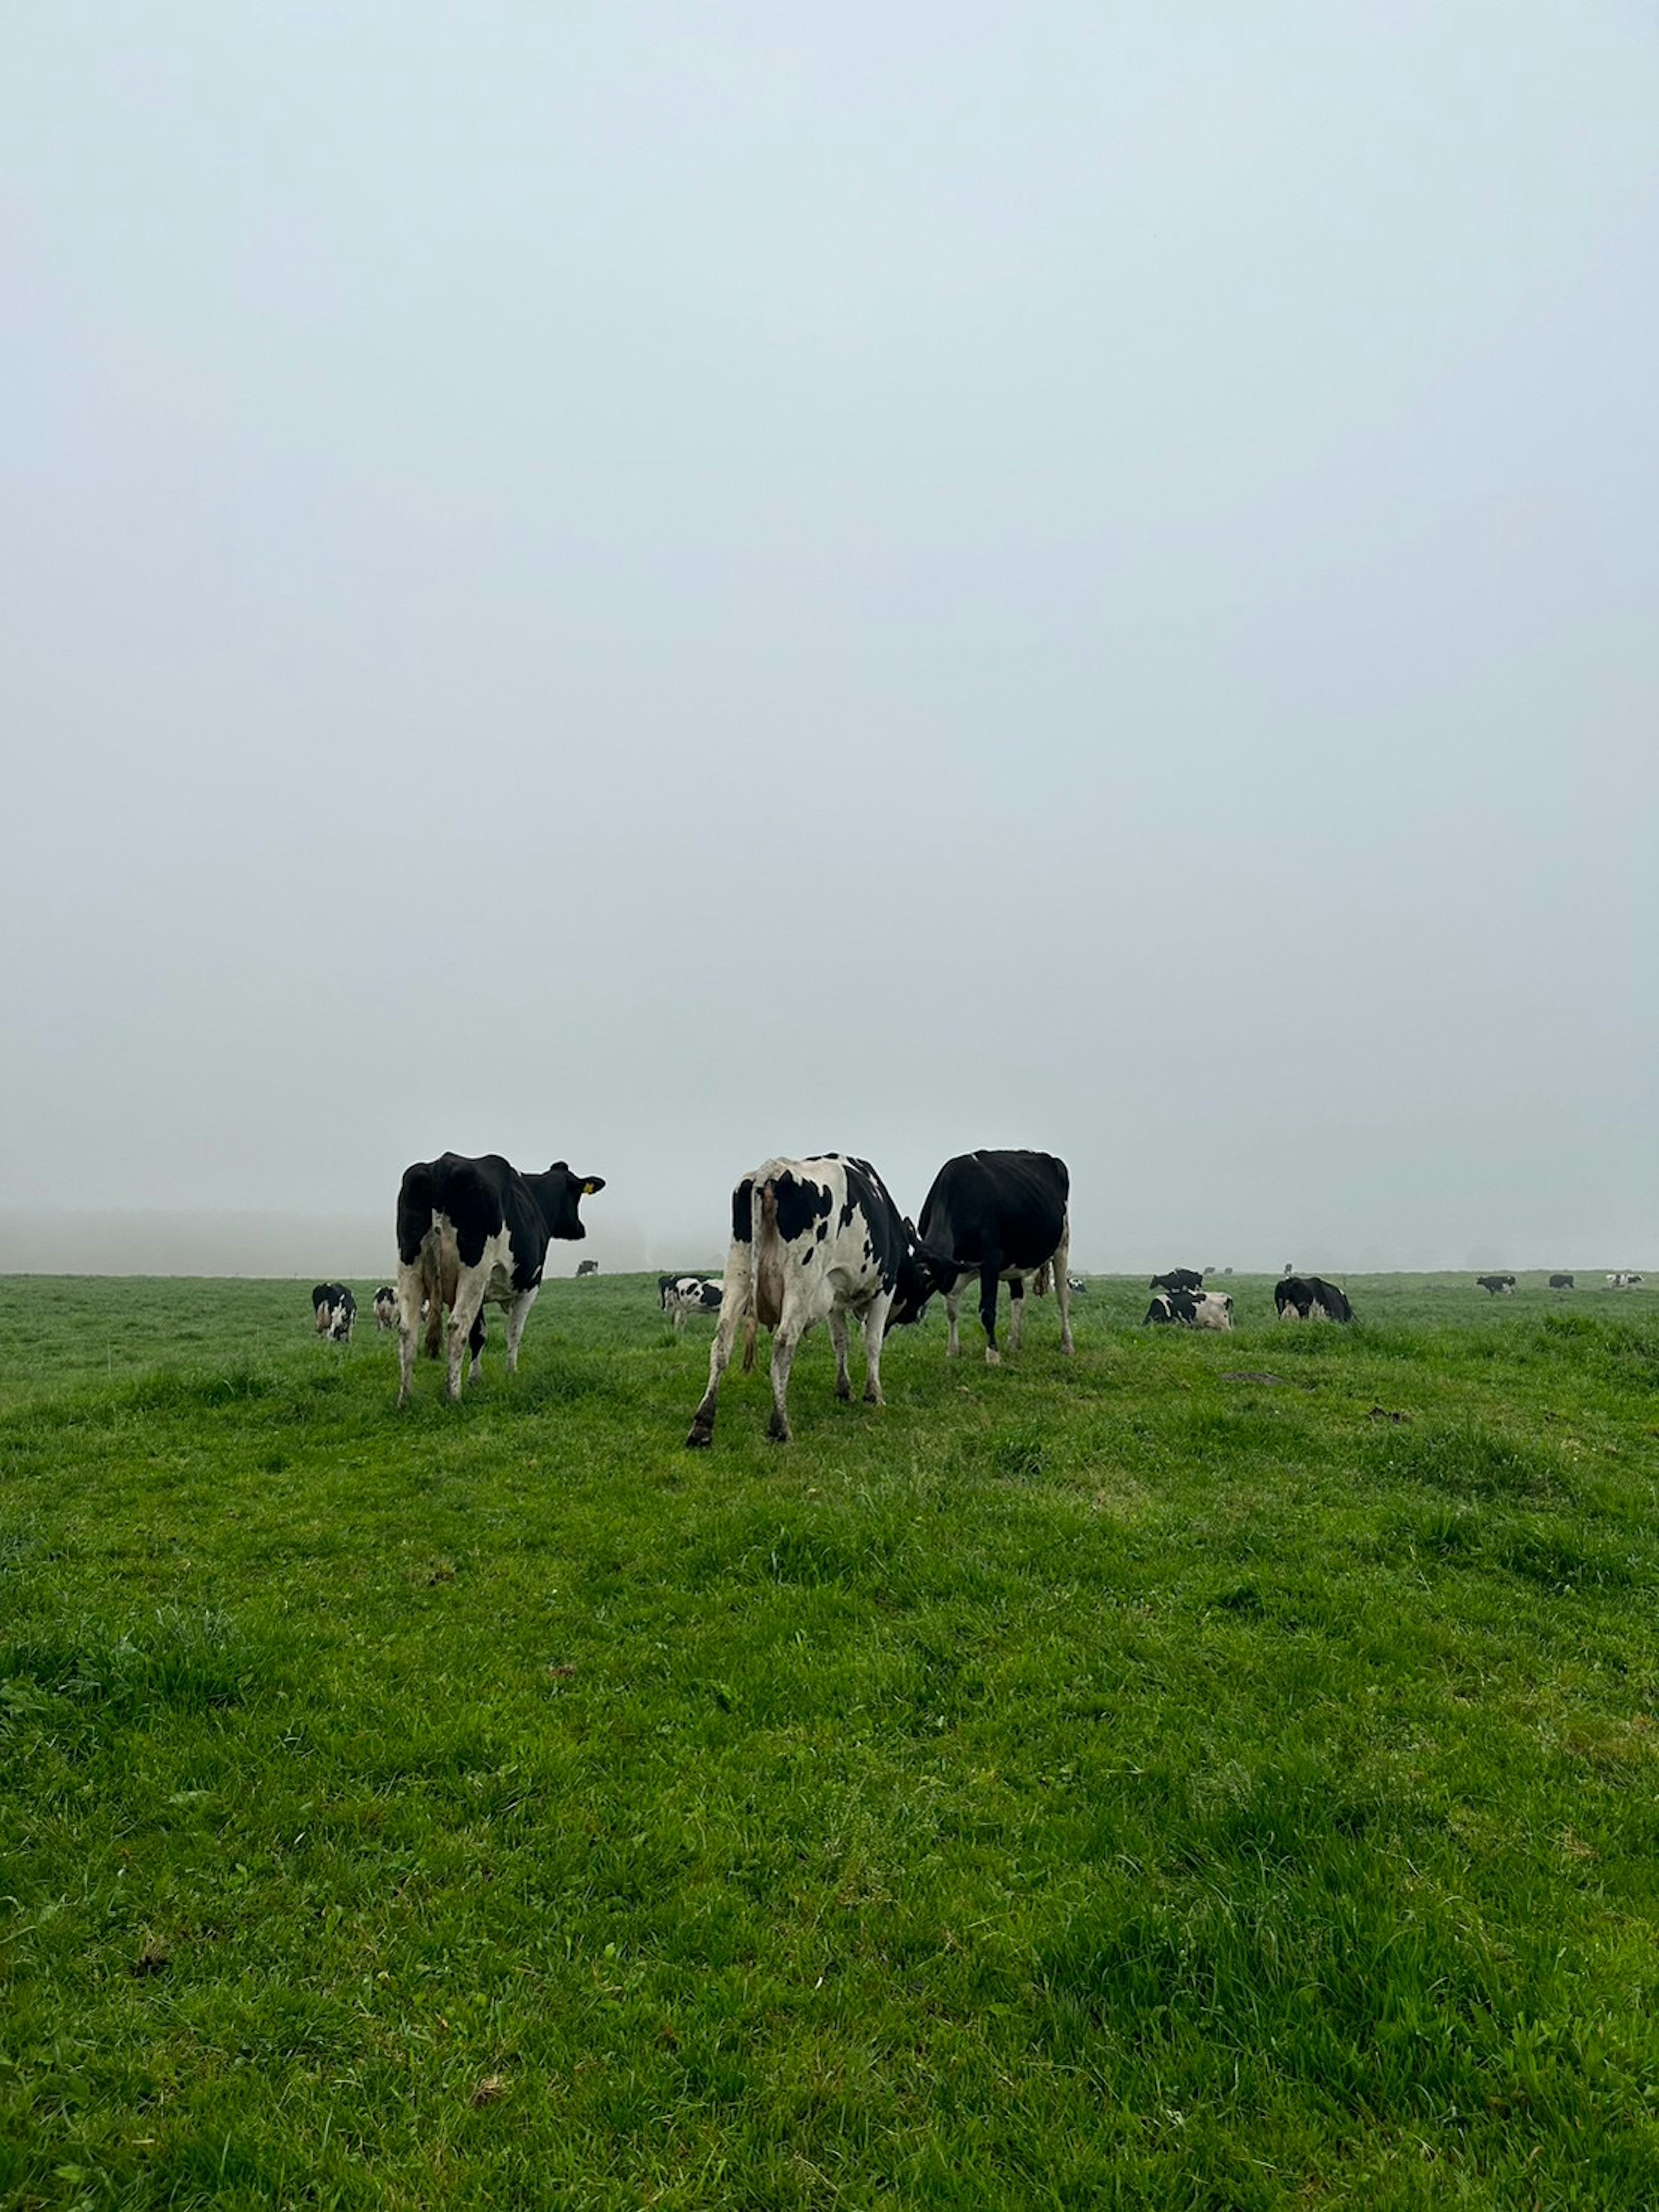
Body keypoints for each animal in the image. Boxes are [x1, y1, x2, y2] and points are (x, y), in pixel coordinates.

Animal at [309, 1283, 356, 1345]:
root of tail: (326, 1286)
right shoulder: (352, 1318)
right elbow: (350, 1332)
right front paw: (349, 1342)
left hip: (318, 1315)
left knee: (320, 1331)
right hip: (333, 1317)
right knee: (330, 1332)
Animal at [396, 1159, 610, 1398]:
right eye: (577, 1194)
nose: (580, 1229)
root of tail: (444, 1163)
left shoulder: (478, 1293)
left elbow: (479, 1335)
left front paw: (475, 1378)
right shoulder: (530, 1287)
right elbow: (514, 1332)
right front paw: (511, 1373)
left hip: (410, 1268)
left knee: (408, 1329)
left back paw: (406, 1398)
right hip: (473, 1273)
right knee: (457, 1326)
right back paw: (453, 1395)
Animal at [911, 1150, 1079, 1354]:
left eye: (927, 1284)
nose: (914, 1315)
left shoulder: (991, 1259)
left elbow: (988, 1311)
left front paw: (993, 1355)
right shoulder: (953, 1272)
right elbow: (951, 1310)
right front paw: (953, 1351)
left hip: (1062, 1244)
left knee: (1063, 1296)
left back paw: (1067, 1345)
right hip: (1017, 1258)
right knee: (1019, 1299)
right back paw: (1014, 1344)